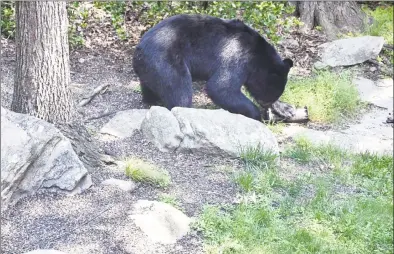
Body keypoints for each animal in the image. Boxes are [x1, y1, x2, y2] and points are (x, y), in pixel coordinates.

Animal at [133, 13, 296, 121]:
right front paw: (256, 115)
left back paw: (152, 99)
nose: (266, 104)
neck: (257, 55)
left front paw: (286, 109)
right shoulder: (239, 56)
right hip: (166, 61)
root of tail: (138, 51)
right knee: (180, 92)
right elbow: (221, 87)